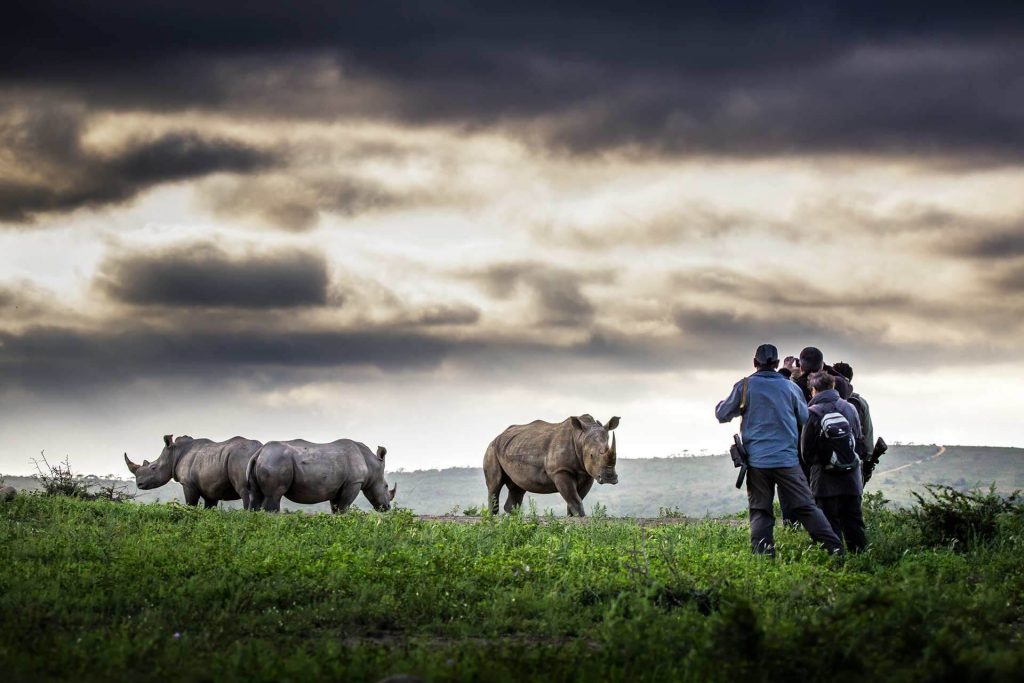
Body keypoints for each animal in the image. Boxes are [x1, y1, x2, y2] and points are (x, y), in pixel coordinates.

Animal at [123, 438, 262, 507]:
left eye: (153, 467)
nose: (139, 484)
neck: (174, 453)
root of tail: (259, 450)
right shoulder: (211, 489)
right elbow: (209, 509)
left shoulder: (188, 484)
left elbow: (191, 505)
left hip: (240, 458)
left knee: (247, 494)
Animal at [245, 438, 397, 511]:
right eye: (386, 486)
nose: (387, 508)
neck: (371, 464)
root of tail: (259, 453)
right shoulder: (354, 482)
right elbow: (344, 507)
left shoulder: (337, 487)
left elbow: (336, 509)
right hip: (276, 460)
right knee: (274, 496)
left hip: (263, 461)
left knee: (255, 497)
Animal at [483, 413, 618, 516]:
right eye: (591, 455)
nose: (609, 478)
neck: (580, 438)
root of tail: (498, 436)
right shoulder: (560, 471)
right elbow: (575, 499)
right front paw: (580, 517)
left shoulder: (587, 473)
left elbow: (576, 499)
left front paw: (573, 517)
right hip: (492, 449)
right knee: (495, 484)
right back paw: (492, 517)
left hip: (514, 447)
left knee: (517, 488)